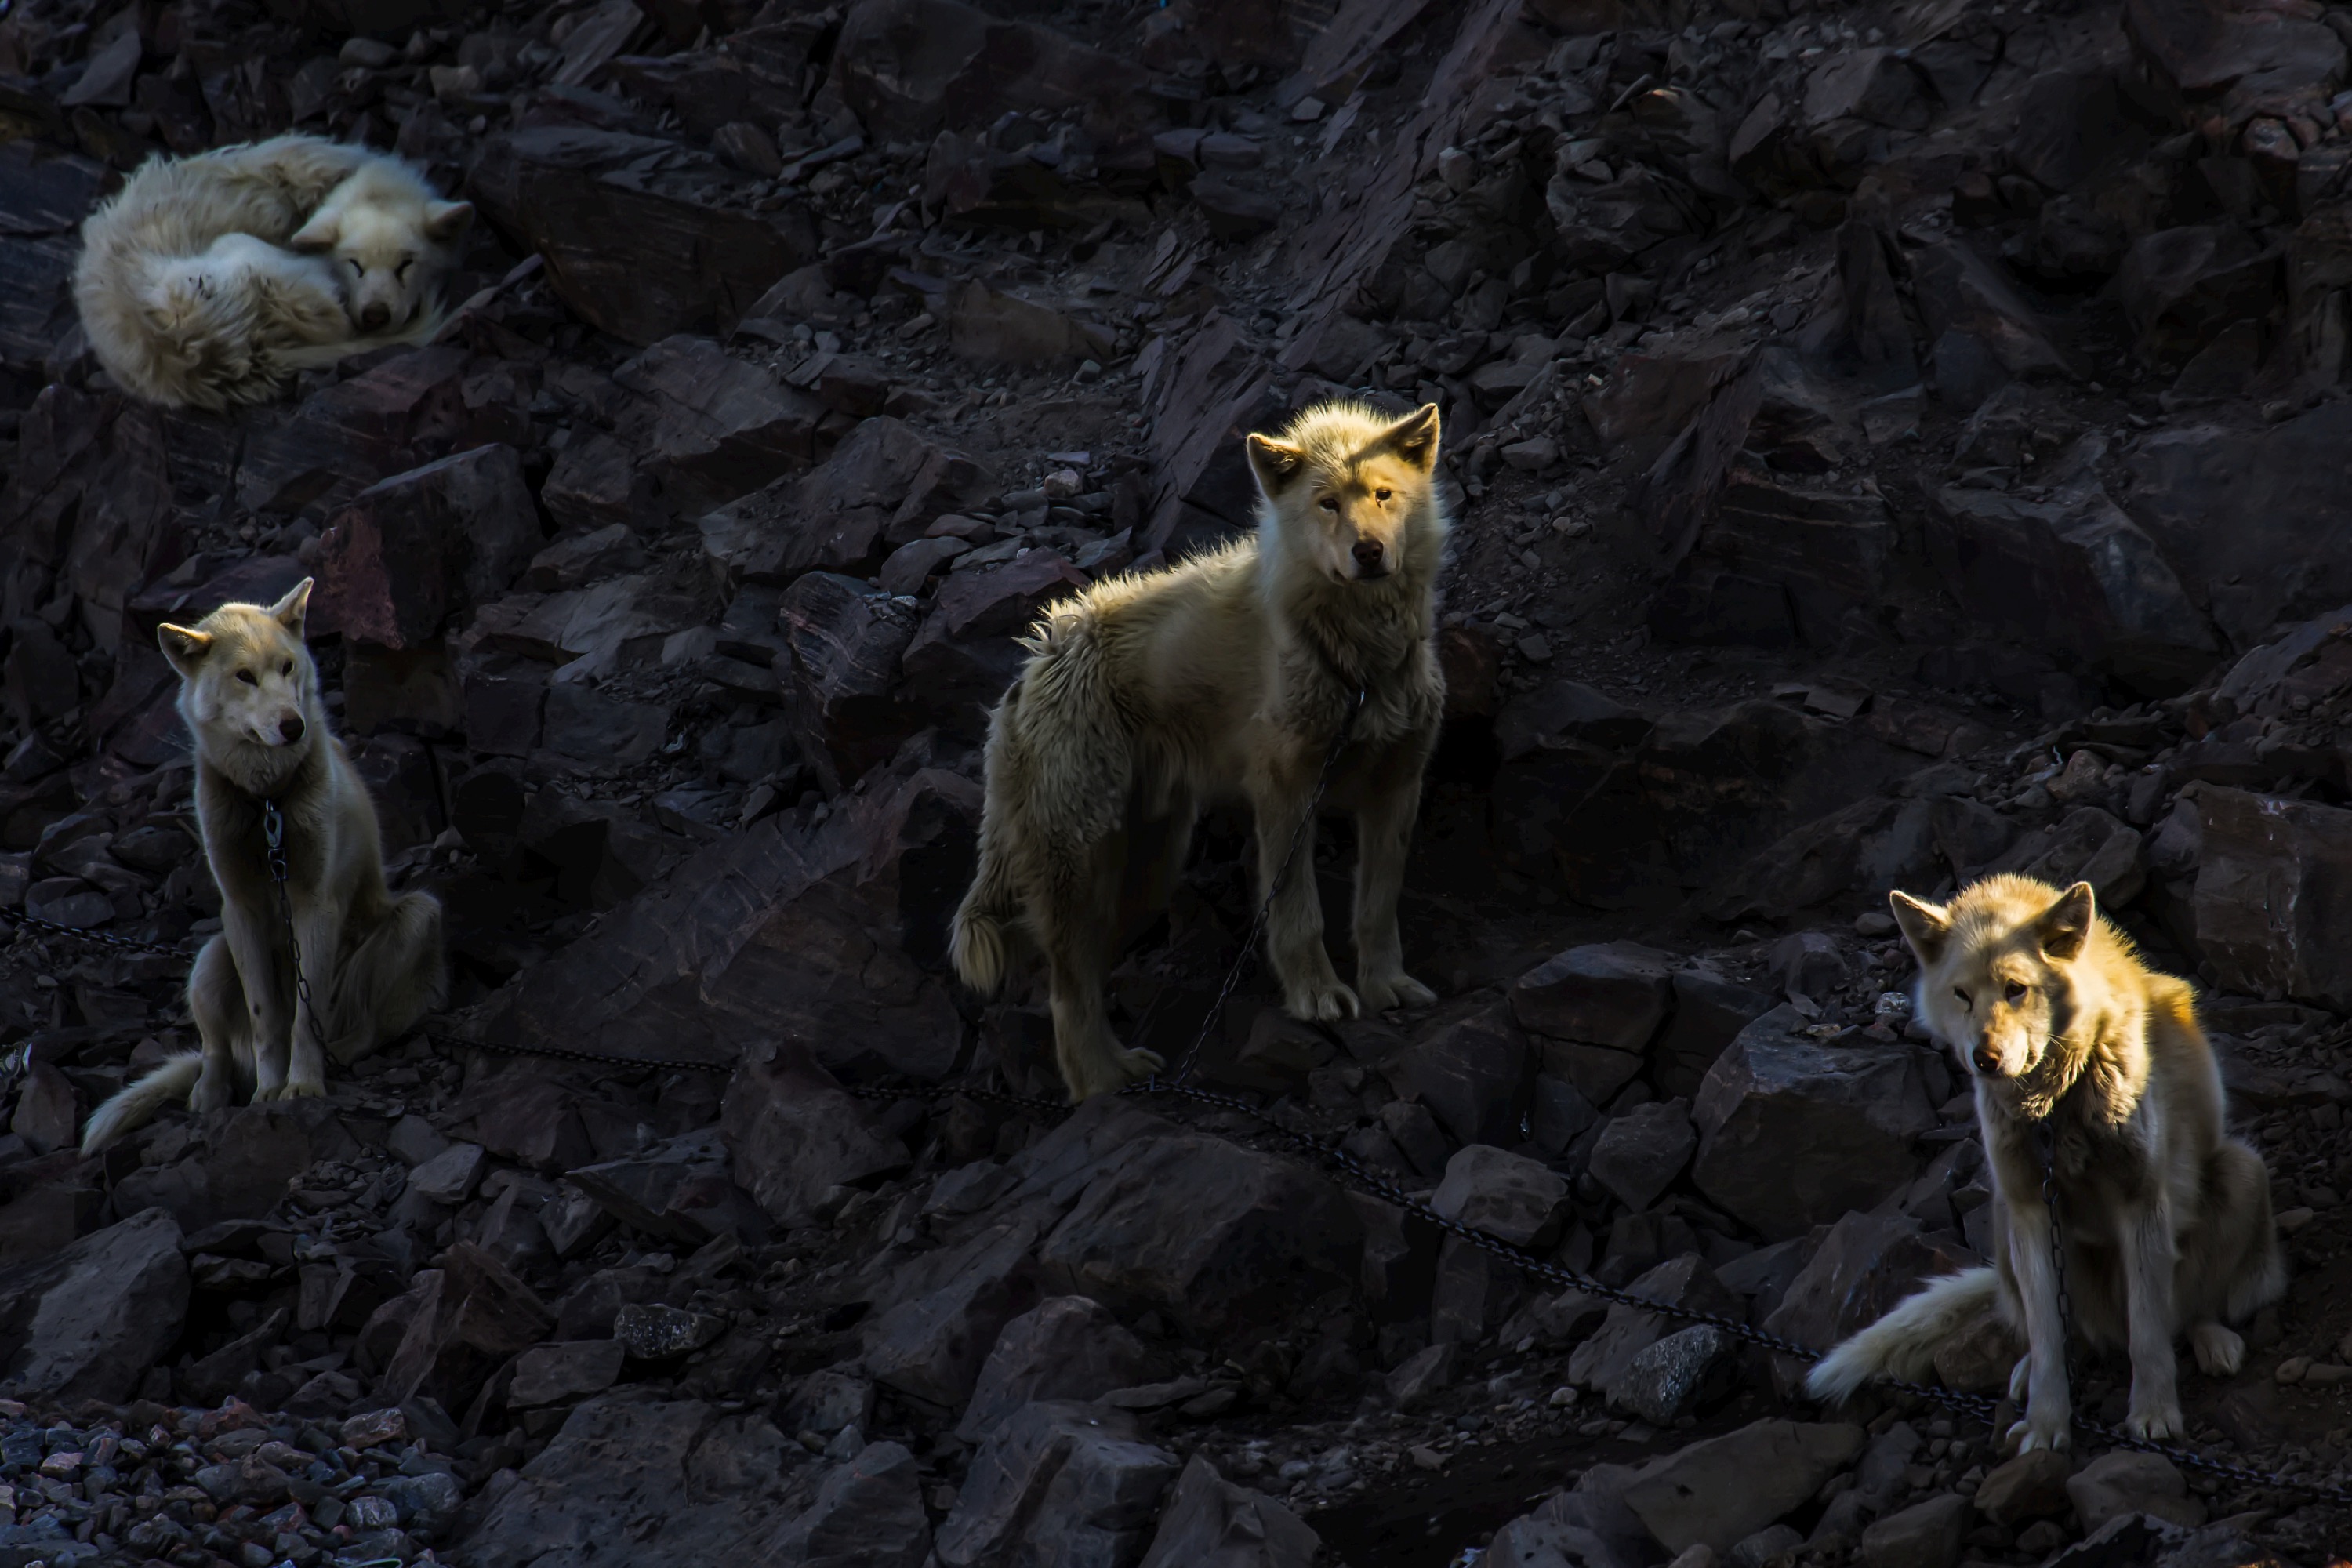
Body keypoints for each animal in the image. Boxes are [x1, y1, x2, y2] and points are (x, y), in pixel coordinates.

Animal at [955, 399, 1449, 1100]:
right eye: (1327, 504)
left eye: (1384, 495)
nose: (1369, 551)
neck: (1355, 663)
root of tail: (1033, 665)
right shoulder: (1286, 796)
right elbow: (1299, 914)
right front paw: (1317, 996)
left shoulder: (1397, 788)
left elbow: (1378, 905)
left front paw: (1386, 987)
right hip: (1082, 859)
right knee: (1068, 991)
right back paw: (1103, 1081)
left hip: (1143, 870)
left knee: (1072, 972)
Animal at [1797, 869, 2277, 1448]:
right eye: (1962, 995)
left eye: (2016, 989)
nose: (1985, 1058)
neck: (2052, 1109)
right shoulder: (2029, 1208)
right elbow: (2048, 1335)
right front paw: (2047, 1424)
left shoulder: (2141, 1200)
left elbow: (2149, 1332)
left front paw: (2154, 1413)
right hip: (2002, 1219)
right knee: (2061, 1334)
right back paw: (2026, 1372)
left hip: (2242, 1171)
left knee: (2189, 1312)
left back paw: (2214, 1341)